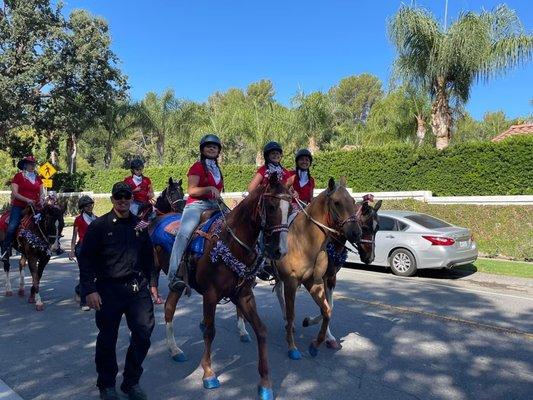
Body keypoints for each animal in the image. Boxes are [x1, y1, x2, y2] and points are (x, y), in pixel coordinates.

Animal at [164, 173, 290, 400]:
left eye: (290, 208)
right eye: (272, 206)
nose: (280, 250)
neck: (231, 242)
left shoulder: (244, 294)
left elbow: (261, 330)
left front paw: (265, 384)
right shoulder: (210, 295)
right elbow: (210, 332)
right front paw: (208, 373)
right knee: (168, 309)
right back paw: (175, 349)